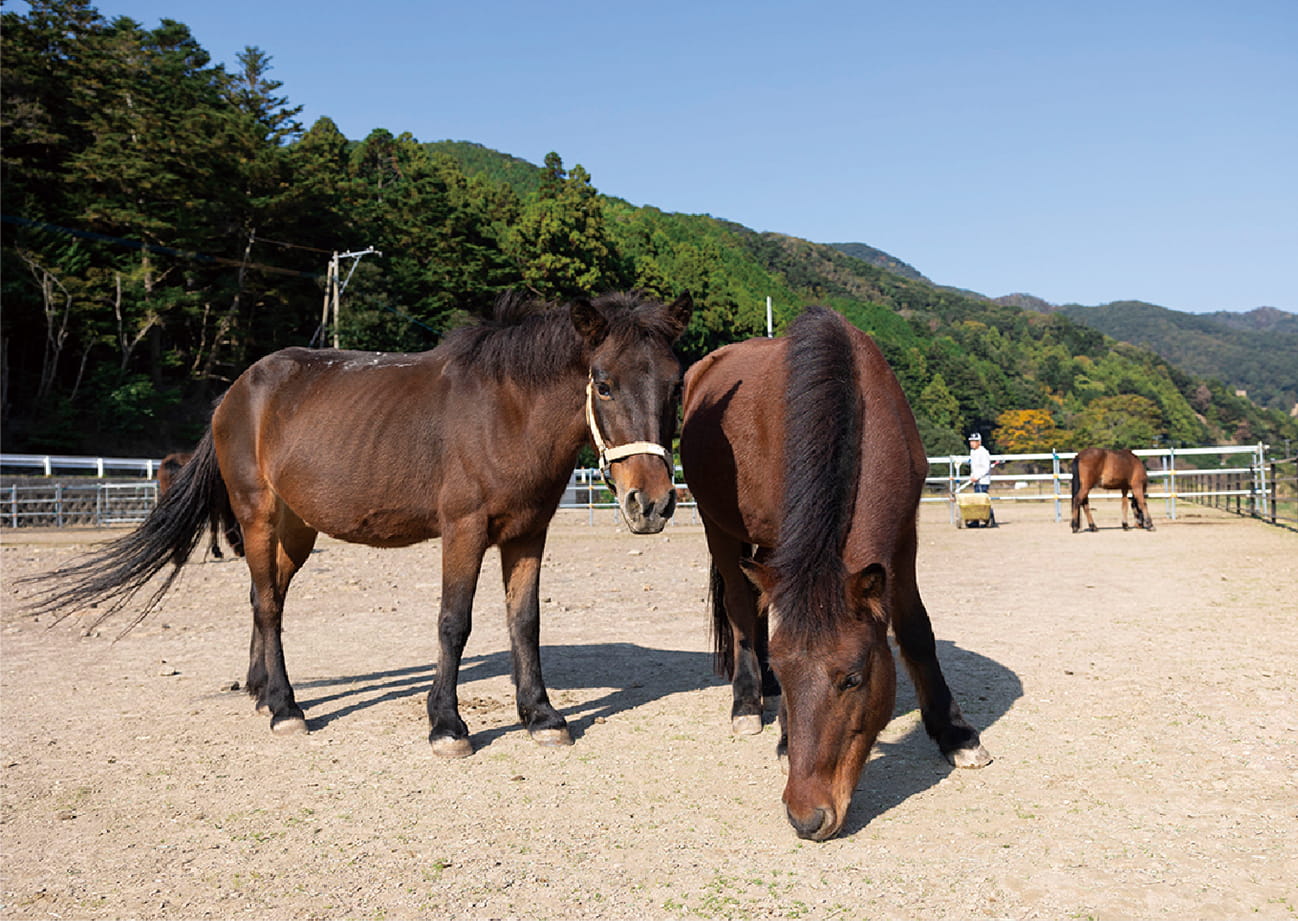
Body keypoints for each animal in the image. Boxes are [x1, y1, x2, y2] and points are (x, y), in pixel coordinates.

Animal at [27, 290, 692, 756]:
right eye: (602, 383)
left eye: (676, 386)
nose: (652, 503)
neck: (507, 411)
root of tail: (236, 392)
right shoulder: (464, 529)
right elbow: (454, 623)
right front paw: (447, 725)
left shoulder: (529, 533)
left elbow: (524, 623)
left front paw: (543, 716)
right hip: (257, 513)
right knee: (267, 603)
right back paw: (286, 708)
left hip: (296, 529)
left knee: (264, 596)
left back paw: (260, 689)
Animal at [679, 305, 990, 841]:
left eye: (852, 679)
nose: (806, 816)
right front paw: (784, 735)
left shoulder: (902, 538)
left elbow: (916, 631)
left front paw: (956, 734)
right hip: (716, 524)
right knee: (740, 608)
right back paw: (748, 701)